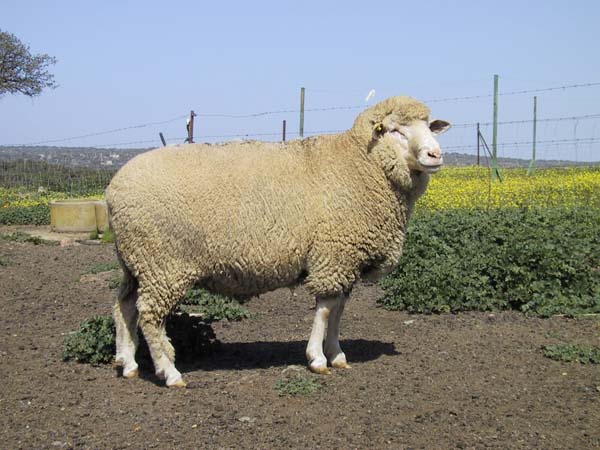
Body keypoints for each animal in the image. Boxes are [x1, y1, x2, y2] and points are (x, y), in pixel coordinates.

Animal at [106, 96, 450, 388]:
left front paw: (337, 354)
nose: (435, 155)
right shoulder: (333, 254)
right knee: (149, 315)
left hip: (135, 262)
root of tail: (113, 189)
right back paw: (169, 372)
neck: (361, 163)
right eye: (395, 130)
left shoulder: (346, 260)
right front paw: (317, 358)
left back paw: (127, 363)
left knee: (124, 306)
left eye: (429, 126)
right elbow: (326, 310)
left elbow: (339, 310)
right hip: (162, 263)